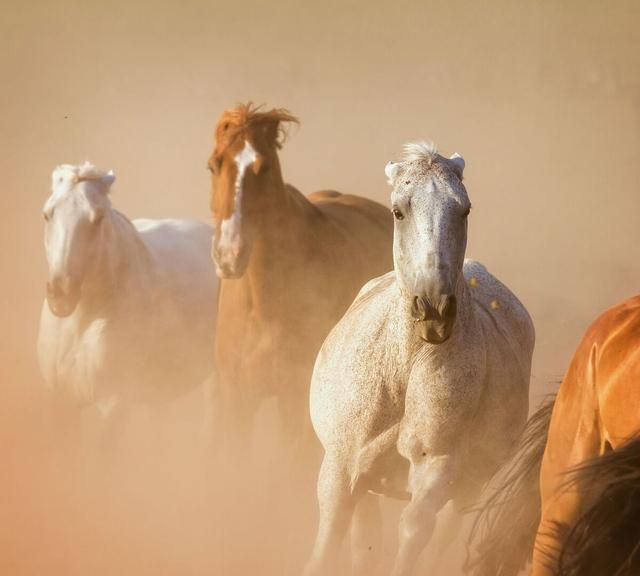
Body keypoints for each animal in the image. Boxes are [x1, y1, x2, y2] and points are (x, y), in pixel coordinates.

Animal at [37, 161, 218, 450]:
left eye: (98, 218)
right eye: (47, 215)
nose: (62, 294)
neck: (81, 323)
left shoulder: (113, 405)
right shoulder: (60, 404)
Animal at [208, 104, 392, 460]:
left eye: (264, 167)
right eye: (213, 165)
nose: (229, 254)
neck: (264, 306)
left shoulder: (293, 401)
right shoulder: (237, 400)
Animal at [304, 141, 536, 576]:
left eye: (464, 210)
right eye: (399, 211)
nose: (433, 308)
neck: (404, 370)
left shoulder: (436, 468)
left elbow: (413, 534)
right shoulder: (340, 467)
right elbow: (327, 546)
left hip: (467, 487)